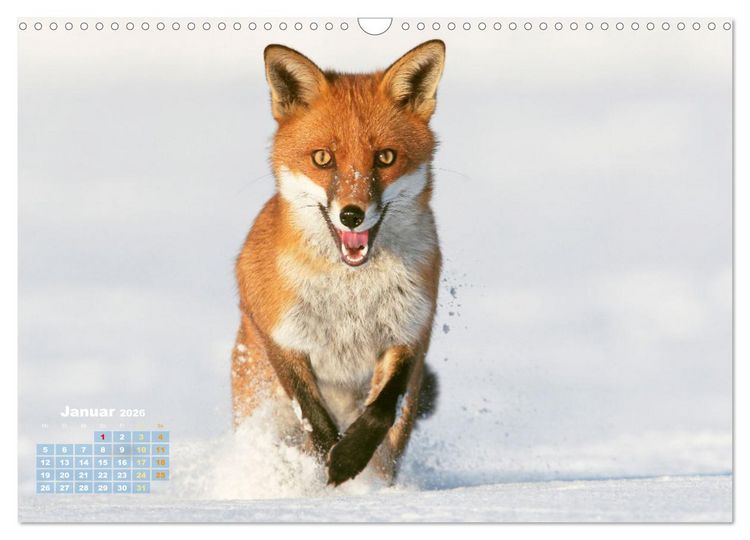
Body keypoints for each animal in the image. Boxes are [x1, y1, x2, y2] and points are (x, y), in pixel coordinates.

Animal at [231, 40, 446, 486]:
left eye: (385, 158)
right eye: (322, 158)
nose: (351, 215)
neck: (351, 292)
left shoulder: (411, 330)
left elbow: (382, 408)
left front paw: (348, 458)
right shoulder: (280, 333)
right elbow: (313, 415)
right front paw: (328, 462)